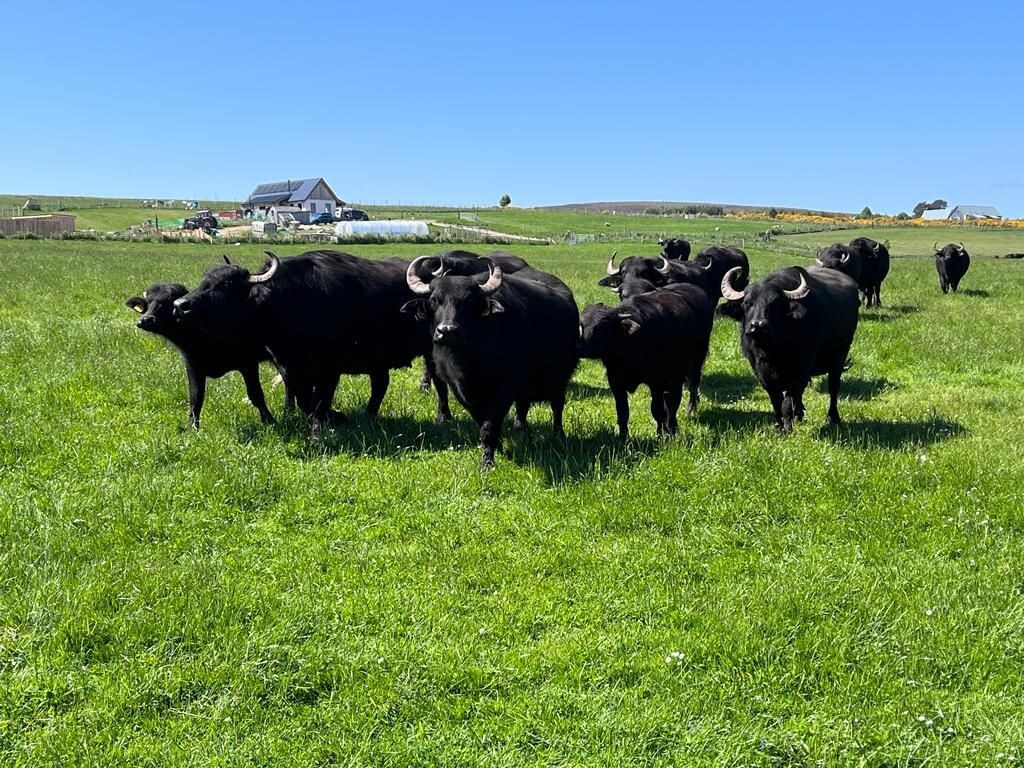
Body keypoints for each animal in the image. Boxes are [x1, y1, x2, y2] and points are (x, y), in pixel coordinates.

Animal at [125, 280, 284, 430]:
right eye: (147, 303)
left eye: (168, 301)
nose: (145, 320)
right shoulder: (193, 367)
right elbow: (195, 399)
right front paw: (191, 429)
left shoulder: (248, 364)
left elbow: (256, 394)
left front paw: (270, 421)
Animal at [171, 250, 448, 434]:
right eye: (204, 280)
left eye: (226, 284)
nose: (180, 305)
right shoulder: (289, 367)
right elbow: (305, 399)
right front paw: (333, 418)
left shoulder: (330, 368)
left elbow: (319, 399)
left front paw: (327, 422)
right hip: (377, 360)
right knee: (380, 385)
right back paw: (368, 416)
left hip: (431, 350)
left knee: (438, 382)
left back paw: (443, 417)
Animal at [403, 257, 581, 468]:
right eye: (434, 300)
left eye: (469, 302)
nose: (447, 331)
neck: (471, 361)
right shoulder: (461, 392)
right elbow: (483, 423)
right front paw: (498, 447)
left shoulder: (504, 389)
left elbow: (490, 426)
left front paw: (487, 462)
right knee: (523, 407)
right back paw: (521, 431)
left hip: (560, 378)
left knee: (557, 406)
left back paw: (558, 435)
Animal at [581, 282, 716, 438]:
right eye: (582, 325)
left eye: (602, 327)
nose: (581, 348)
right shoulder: (616, 382)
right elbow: (622, 412)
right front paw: (623, 437)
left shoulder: (656, 382)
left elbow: (657, 410)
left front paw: (660, 434)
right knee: (671, 399)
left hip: (694, 361)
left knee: (688, 388)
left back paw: (687, 413)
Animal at [724, 264, 860, 434]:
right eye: (747, 303)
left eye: (775, 304)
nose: (758, 325)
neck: (773, 350)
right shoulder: (761, 373)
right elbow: (776, 401)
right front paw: (779, 426)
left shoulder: (800, 371)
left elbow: (787, 402)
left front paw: (788, 427)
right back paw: (800, 415)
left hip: (839, 357)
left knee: (833, 388)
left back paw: (832, 418)